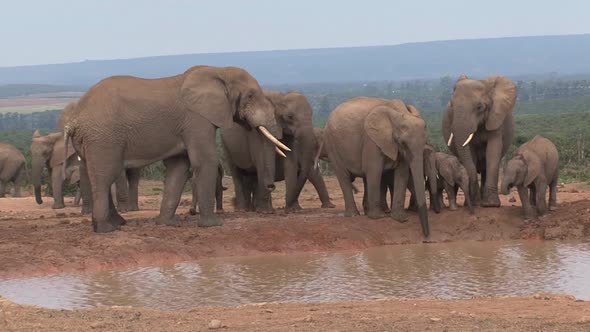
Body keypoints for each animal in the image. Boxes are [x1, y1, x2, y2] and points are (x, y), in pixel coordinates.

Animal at [64, 65, 286, 233]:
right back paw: (105, 229)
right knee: (105, 175)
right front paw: (213, 225)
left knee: (98, 174)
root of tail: (75, 119)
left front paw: (167, 223)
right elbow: (205, 161)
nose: (271, 187)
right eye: (250, 96)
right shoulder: (197, 119)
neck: (219, 71)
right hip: (103, 138)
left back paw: (118, 223)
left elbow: (179, 168)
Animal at [326, 97, 432, 237]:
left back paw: (366, 212)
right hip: (332, 145)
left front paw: (400, 219)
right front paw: (378, 218)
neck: (398, 113)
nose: (426, 237)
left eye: (425, 141)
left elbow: (402, 173)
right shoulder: (371, 140)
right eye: (403, 142)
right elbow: (374, 170)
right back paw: (354, 215)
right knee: (344, 177)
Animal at [444, 75, 520, 208]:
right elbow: (471, 153)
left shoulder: (495, 119)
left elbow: (493, 152)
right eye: (452, 106)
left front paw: (491, 205)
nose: (475, 202)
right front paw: (475, 202)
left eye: (479, 107)